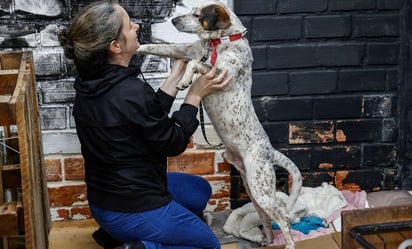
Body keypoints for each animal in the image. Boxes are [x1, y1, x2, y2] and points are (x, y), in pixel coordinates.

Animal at [137, 1, 300, 247]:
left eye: (197, 14)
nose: (174, 20)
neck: (218, 43)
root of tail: (269, 151)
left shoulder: (220, 73)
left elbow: (195, 64)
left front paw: (185, 80)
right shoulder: (184, 50)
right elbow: (158, 48)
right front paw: (133, 46)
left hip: (261, 188)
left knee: (283, 219)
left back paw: (288, 243)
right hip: (253, 189)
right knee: (266, 218)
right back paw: (266, 240)